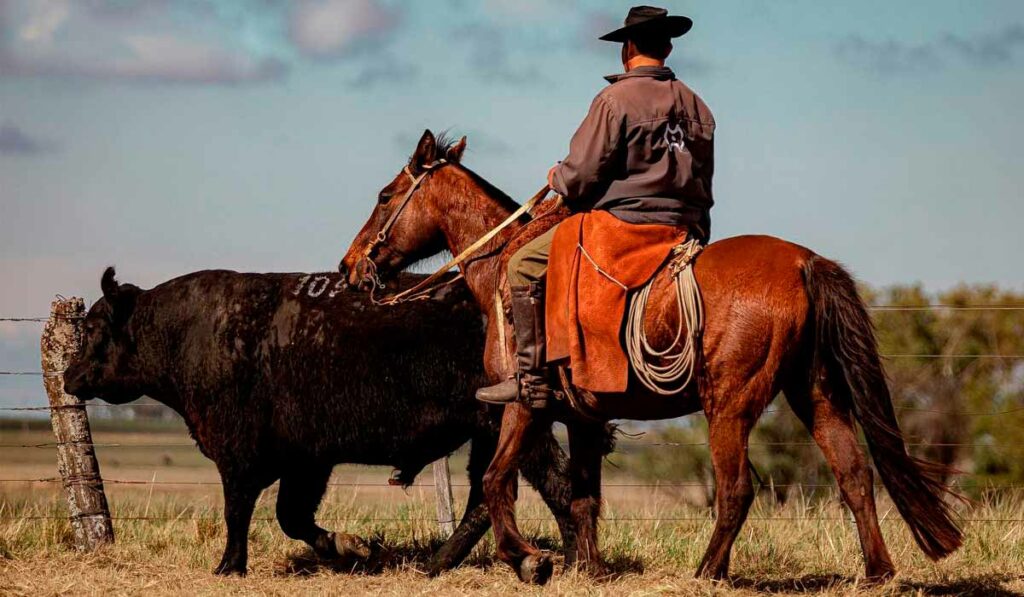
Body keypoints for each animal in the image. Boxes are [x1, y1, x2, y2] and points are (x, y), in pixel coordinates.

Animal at [66, 268, 593, 577]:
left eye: (90, 327)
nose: (69, 376)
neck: (189, 331)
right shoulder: (305, 460)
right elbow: (291, 516)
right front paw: (351, 546)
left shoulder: (238, 454)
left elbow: (239, 511)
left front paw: (228, 567)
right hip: (494, 432)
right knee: (505, 493)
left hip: (514, 425)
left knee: (539, 487)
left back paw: (562, 562)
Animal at [339, 131, 962, 585]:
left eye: (385, 196)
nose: (350, 267)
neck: (503, 266)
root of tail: (803, 261)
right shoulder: (581, 418)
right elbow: (583, 497)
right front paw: (589, 569)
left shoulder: (521, 405)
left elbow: (496, 481)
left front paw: (528, 558)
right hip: (817, 394)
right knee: (853, 473)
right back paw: (877, 572)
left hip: (729, 406)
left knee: (737, 489)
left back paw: (708, 572)